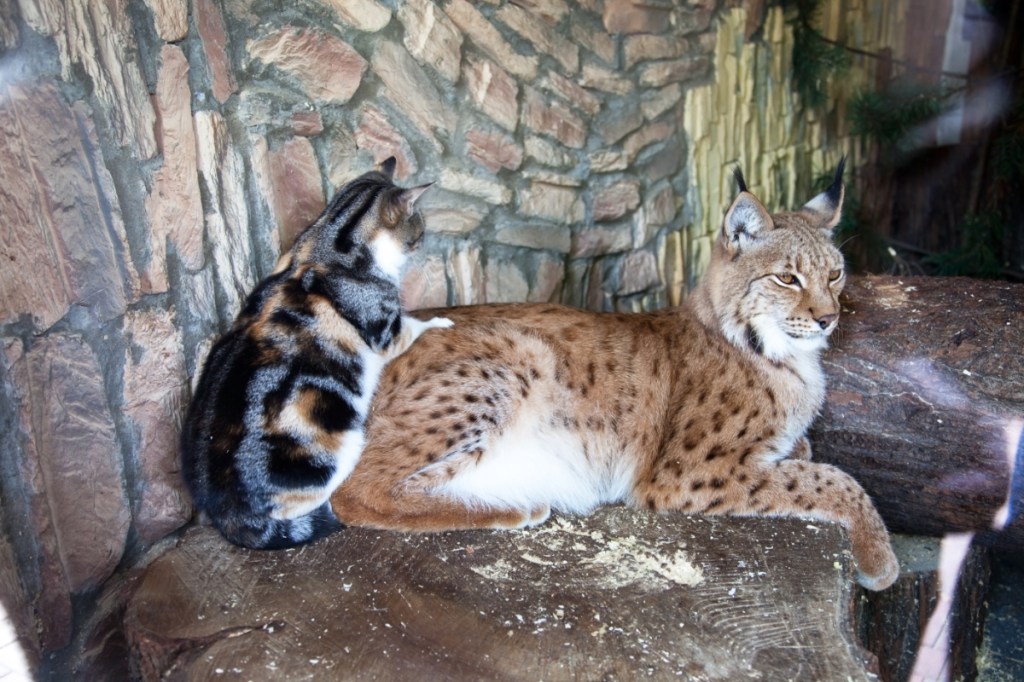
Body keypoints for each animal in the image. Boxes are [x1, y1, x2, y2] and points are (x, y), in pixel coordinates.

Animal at [183, 157, 452, 548]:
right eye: (419, 230)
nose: (422, 244)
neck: (327, 243)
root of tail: (228, 515)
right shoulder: (386, 330)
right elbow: (414, 324)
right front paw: (440, 320)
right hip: (340, 446)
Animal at [331, 160, 901, 589]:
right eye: (787, 278)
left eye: (836, 274)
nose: (829, 318)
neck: (777, 351)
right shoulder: (687, 473)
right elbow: (832, 478)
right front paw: (879, 558)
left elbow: (806, 454)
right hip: (520, 354)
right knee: (354, 493)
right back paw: (511, 507)